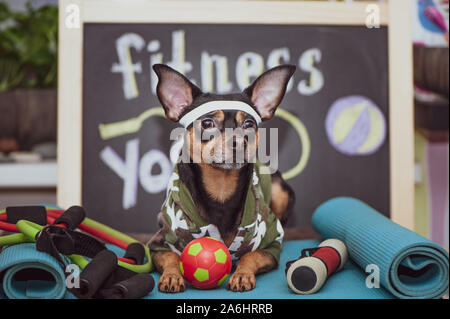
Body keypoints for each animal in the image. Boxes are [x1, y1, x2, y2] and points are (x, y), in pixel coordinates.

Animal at [148, 63, 296, 294]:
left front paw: (242, 274)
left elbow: (250, 255)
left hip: (281, 192)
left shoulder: (271, 244)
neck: (221, 188)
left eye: (249, 124)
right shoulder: (159, 243)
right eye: (207, 123)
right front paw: (172, 275)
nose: (237, 142)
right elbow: (171, 256)